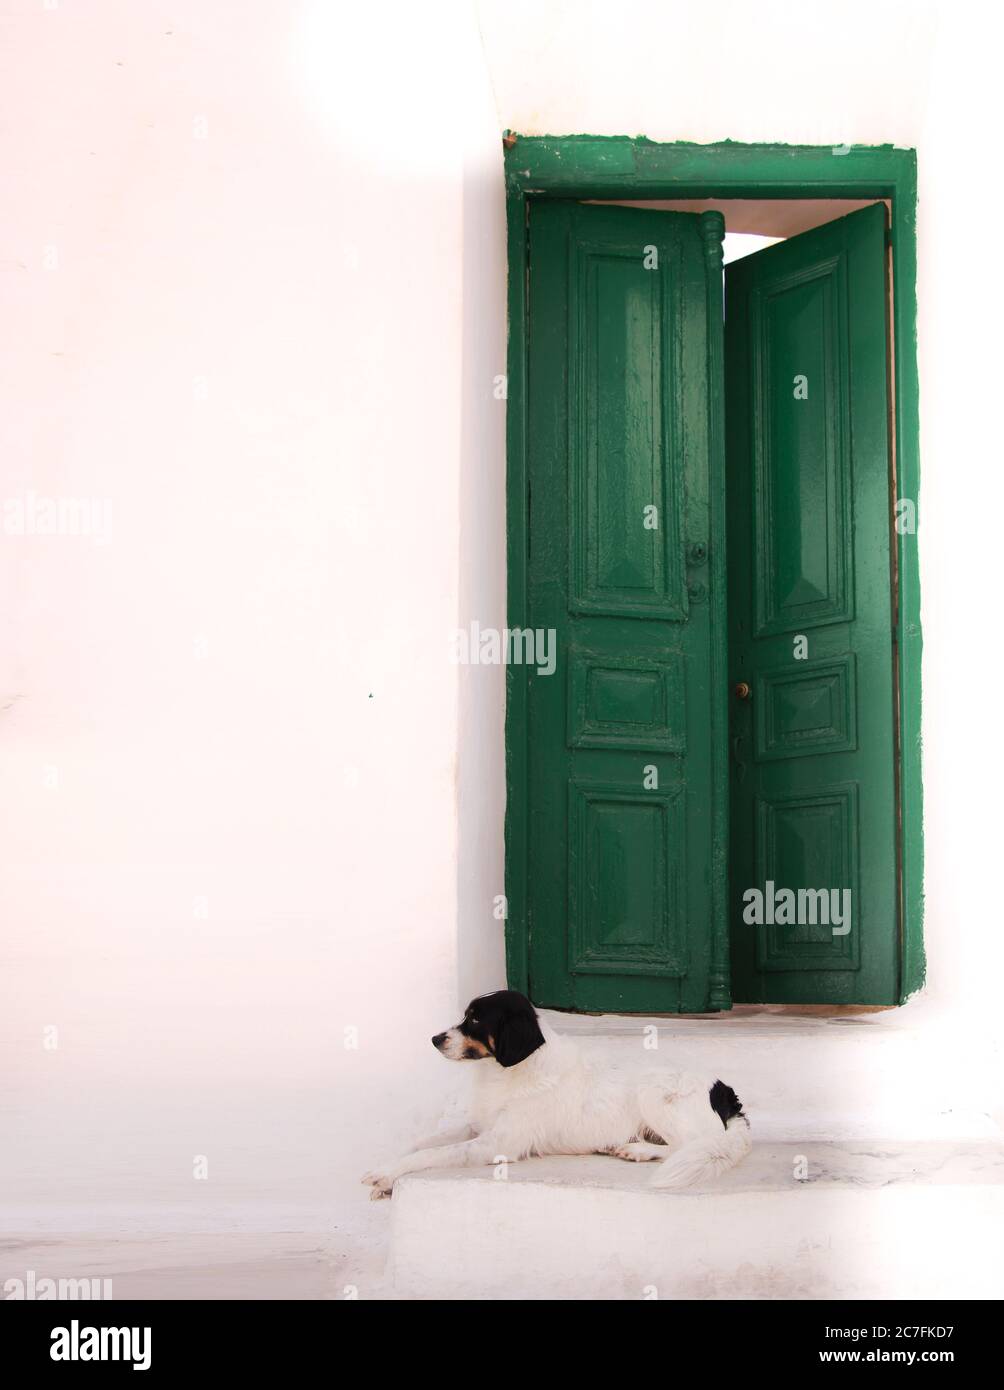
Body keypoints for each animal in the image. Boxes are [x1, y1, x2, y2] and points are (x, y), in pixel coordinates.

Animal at [364, 989, 745, 1195]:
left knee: (687, 1145)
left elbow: (432, 1153)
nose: (434, 1039)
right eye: (465, 1015)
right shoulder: (479, 1127)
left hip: (654, 1094)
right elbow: (424, 1143)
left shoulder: (495, 1144)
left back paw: (636, 1150)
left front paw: (386, 1174)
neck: (509, 1073)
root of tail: (725, 1091)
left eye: (475, 1019)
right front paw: (387, 1165)